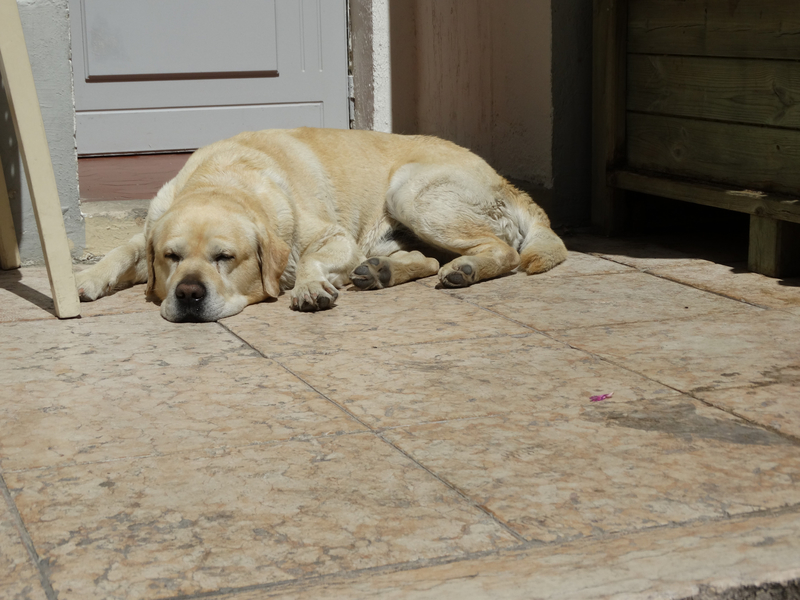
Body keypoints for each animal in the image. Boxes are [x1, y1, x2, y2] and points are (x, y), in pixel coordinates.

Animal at [73, 128, 564, 322]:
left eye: (224, 257)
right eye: (170, 257)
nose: (189, 295)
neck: (223, 179)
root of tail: (505, 179)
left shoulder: (334, 236)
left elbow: (310, 260)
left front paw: (310, 288)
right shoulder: (148, 231)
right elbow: (121, 250)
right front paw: (85, 280)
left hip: (408, 193)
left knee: (505, 251)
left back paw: (464, 270)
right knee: (422, 258)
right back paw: (382, 272)